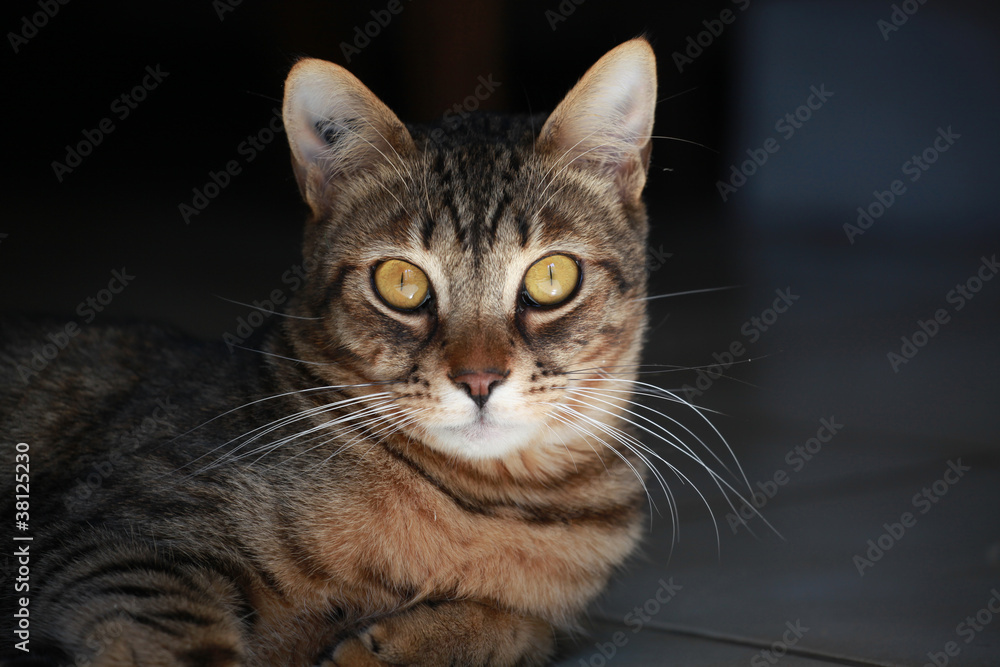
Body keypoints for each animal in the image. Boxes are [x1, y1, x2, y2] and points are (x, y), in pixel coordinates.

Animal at [0, 37, 700, 667]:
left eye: (553, 277)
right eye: (401, 282)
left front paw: (399, 642)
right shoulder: (124, 542)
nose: (479, 379)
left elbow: (518, 628)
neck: (490, 507)